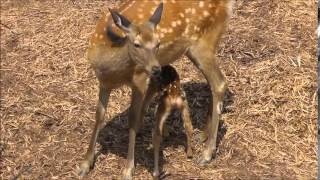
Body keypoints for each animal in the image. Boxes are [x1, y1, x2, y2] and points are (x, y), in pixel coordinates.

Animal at [79, 0, 232, 179]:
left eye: (158, 43)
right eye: (137, 44)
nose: (156, 68)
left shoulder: (139, 79)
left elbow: (132, 118)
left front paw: (128, 169)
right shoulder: (103, 82)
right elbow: (99, 115)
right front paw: (85, 164)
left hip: (203, 43)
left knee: (219, 83)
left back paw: (207, 154)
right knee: (213, 84)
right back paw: (203, 135)